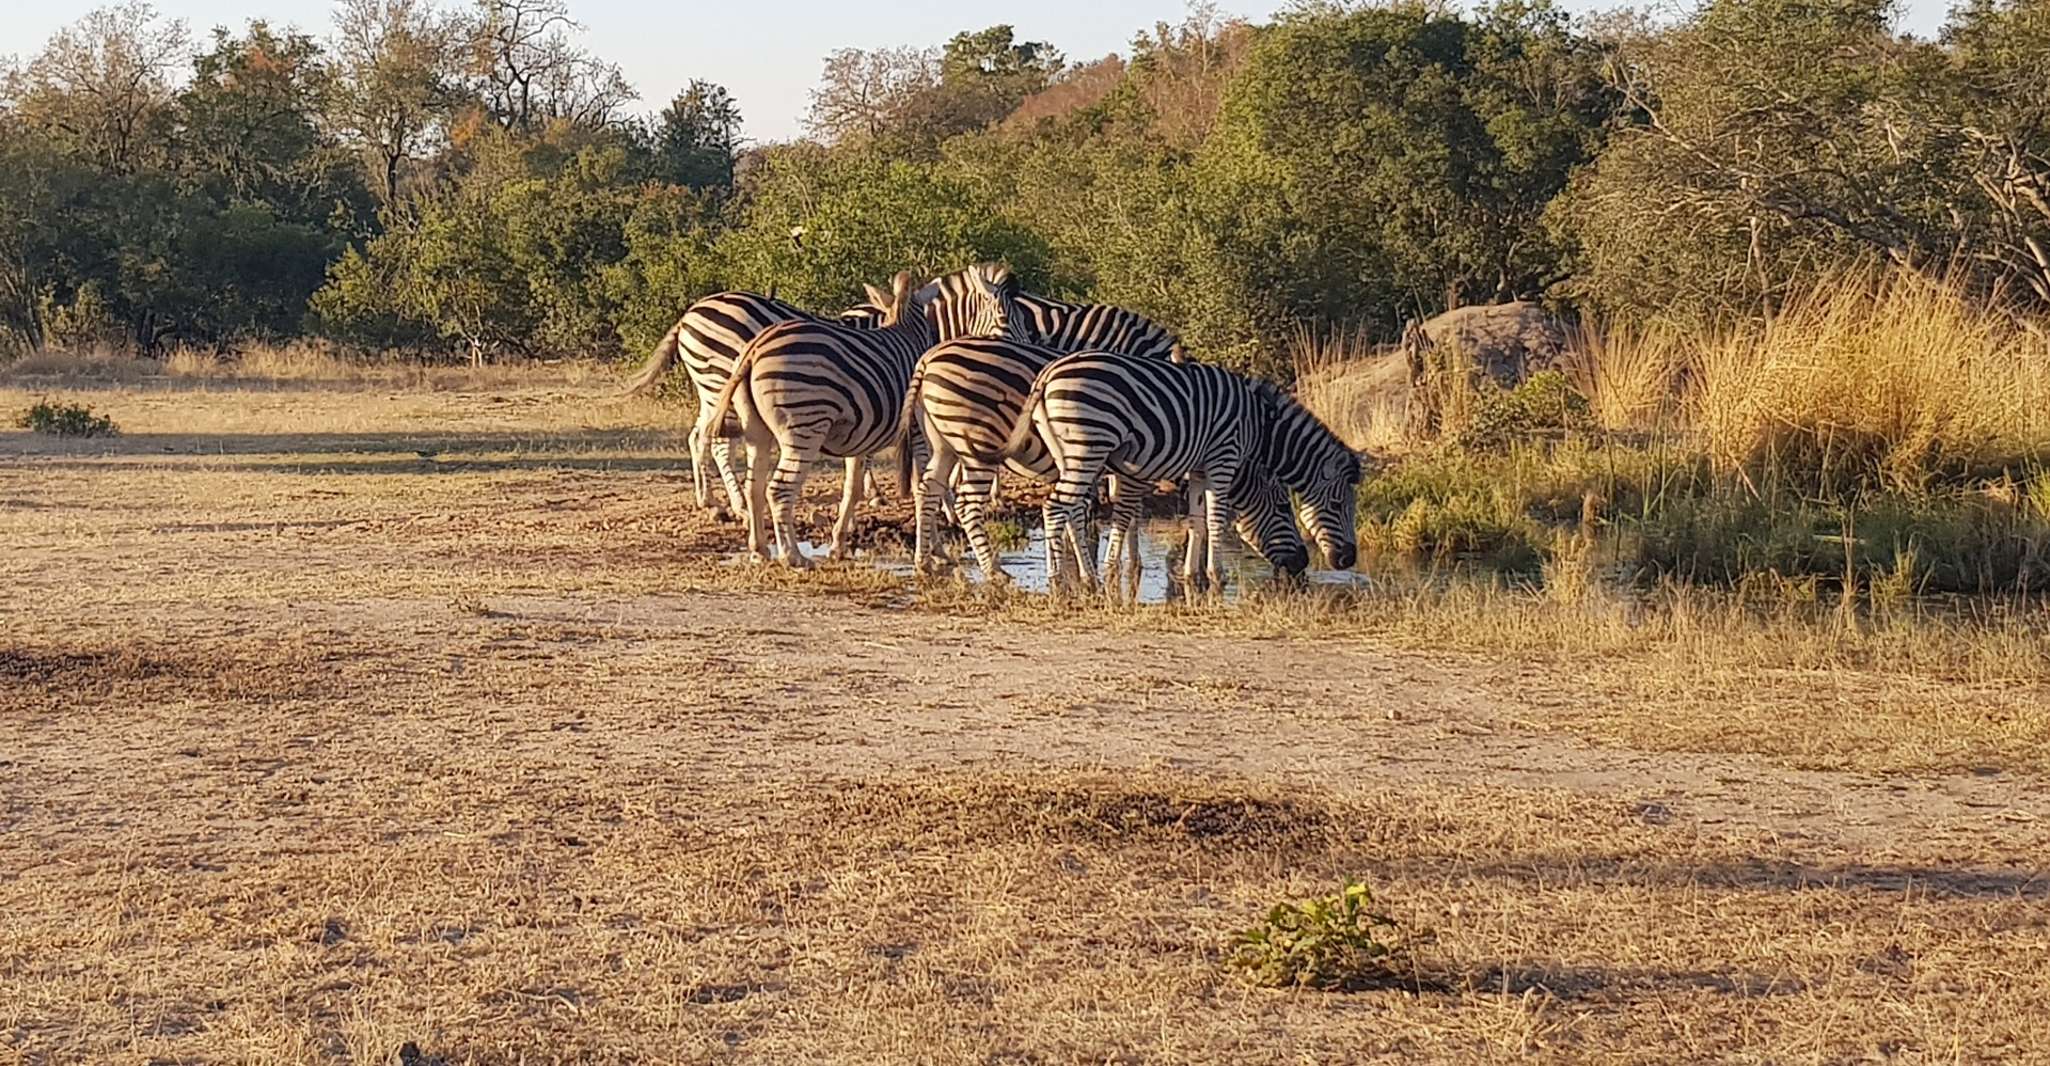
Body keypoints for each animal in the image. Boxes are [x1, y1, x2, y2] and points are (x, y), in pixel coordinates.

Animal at [623, 291, 881, 516]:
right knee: (719, 444)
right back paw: (739, 505)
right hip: (721, 381)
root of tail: (686, 317)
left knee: (698, 437)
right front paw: (874, 492)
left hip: (709, 390)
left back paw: (708, 501)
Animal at [705, 264, 1033, 565]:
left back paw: (759, 549)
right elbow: (924, 486)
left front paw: (839, 543)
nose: (1028, 356)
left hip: (756, 430)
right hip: (804, 426)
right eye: (1007, 319)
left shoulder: (862, 432)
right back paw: (792, 556)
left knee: (755, 486)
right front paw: (937, 549)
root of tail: (755, 346)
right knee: (778, 488)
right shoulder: (918, 433)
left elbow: (853, 487)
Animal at [1004, 354, 1361, 594]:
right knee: (1055, 507)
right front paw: (1218, 575)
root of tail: (1049, 373)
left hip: (1070, 451)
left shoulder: (1200, 468)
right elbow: (1217, 521)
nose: (1348, 560)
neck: (1262, 424)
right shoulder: (1223, 457)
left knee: (1073, 508)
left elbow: (1197, 521)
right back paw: (1055, 579)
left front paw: (1193, 576)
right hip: (1089, 443)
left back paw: (1088, 577)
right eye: (1285, 508)